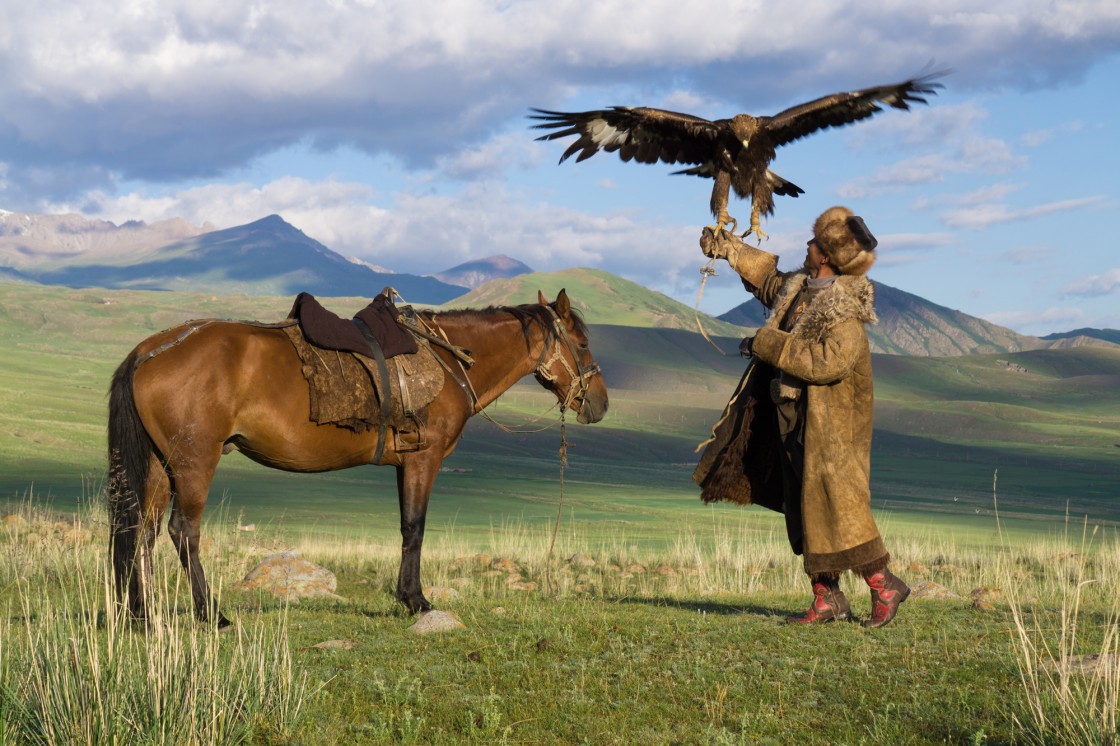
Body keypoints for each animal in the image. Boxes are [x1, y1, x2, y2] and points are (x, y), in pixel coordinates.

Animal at [108, 286, 609, 622]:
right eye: (583, 344)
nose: (600, 404)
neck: (451, 360)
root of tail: (149, 350)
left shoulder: (405, 464)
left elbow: (406, 527)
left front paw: (407, 596)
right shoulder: (424, 460)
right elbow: (415, 528)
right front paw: (415, 600)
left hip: (159, 465)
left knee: (143, 531)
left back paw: (142, 615)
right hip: (194, 462)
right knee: (182, 531)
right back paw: (212, 613)